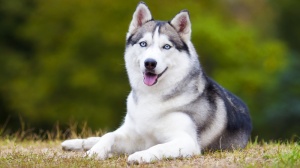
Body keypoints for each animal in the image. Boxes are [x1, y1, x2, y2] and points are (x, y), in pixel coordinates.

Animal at [62, 1, 252, 164]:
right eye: (143, 44)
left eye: (166, 46)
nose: (150, 63)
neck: (152, 98)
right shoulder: (135, 134)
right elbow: (109, 135)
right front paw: (95, 152)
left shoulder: (187, 141)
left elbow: (158, 147)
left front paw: (139, 156)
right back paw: (73, 143)